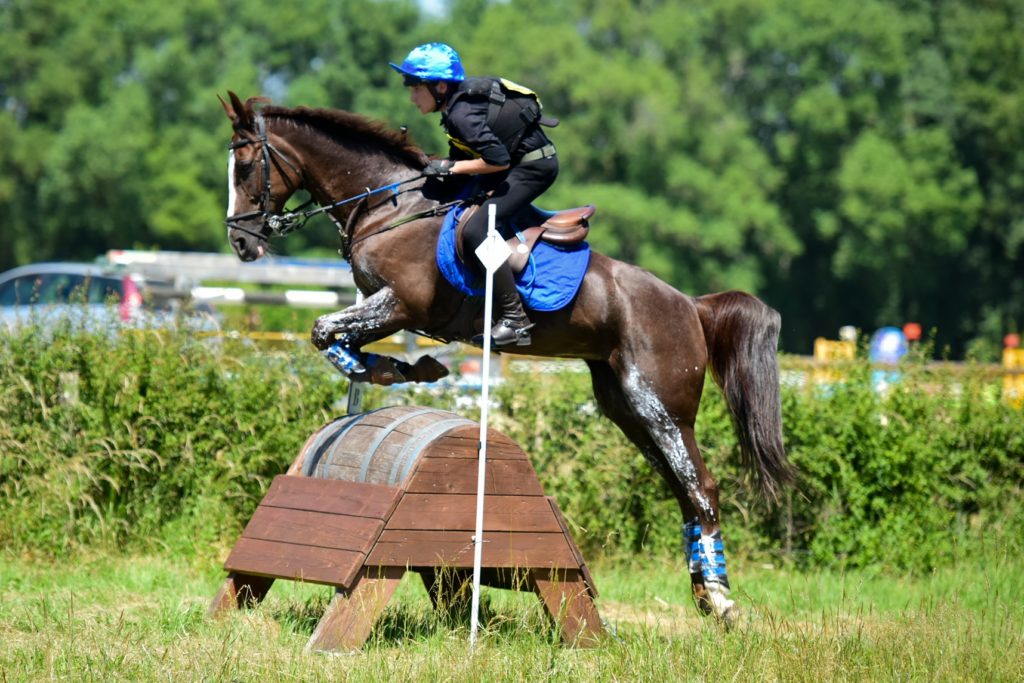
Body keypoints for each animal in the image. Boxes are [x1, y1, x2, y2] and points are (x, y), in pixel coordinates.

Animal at [218, 90, 790, 626]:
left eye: (244, 165)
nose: (241, 243)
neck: (391, 207)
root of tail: (691, 304)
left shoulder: (400, 305)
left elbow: (325, 332)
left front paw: (391, 368)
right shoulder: (381, 307)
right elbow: (337, 339)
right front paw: (401, 369)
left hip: (661, 404)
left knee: (701, 487)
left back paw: (720, 598)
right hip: (625, 407)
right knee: (682, 489)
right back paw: (704, 593)